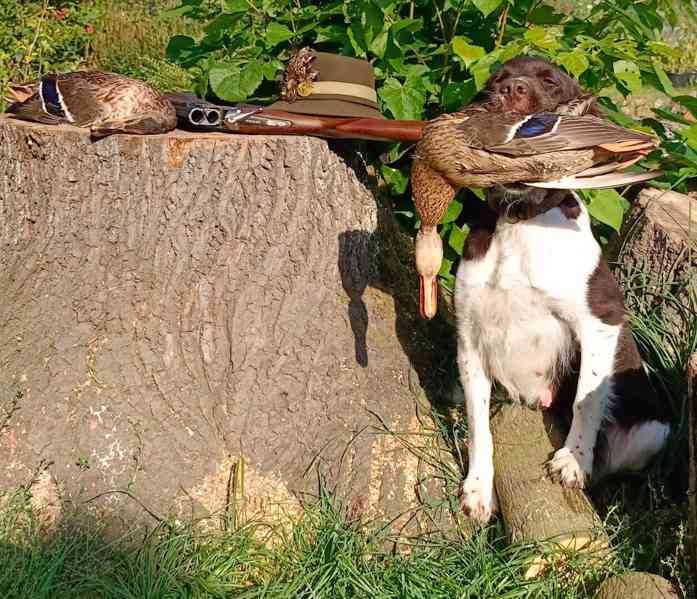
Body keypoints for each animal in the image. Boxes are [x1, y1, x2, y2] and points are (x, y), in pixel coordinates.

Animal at [456, 57, 668, 524]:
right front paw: (479, 488)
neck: (520, 219)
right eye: (496, 80)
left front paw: (573, 460)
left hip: (652, 429)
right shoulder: (468, 338)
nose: (512, 90)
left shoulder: (602, 321)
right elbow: (478, 423)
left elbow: (586, 401)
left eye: (550, 82)